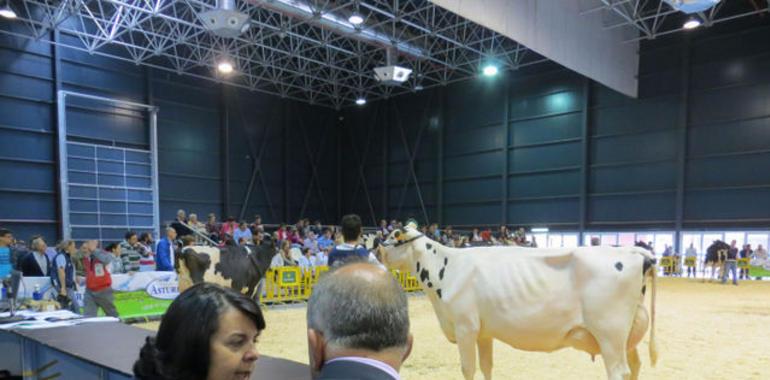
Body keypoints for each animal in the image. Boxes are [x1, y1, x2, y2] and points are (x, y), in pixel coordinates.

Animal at [378, 224, 656, 380]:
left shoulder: (465, 327)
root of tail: (633, 252)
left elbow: (468, 369)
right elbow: (487, 367)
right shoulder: (483, 332)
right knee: (635, 366)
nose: (376, 247)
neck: (446, 266)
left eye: (394, 235)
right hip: (626, 334)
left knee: (619, 372)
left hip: (609, 331)